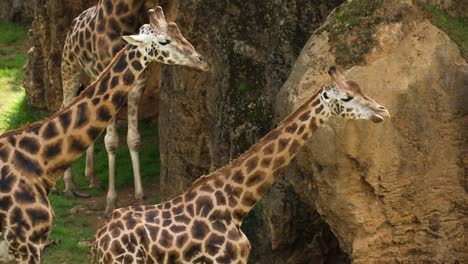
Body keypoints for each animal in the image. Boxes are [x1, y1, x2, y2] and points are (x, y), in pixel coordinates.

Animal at [59, 0, 162, 211]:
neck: (124, 17)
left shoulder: (139, 82)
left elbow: (133, 139)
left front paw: (140, 196)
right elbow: (112, 141)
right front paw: (111, 201)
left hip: (91, 78)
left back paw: (92, 177)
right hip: (70, 69)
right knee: (63, 109)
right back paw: (70, 186)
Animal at [89, 66, 390, 264]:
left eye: (359, 88)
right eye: (347, 97)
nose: (382, 111)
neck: (235, 204)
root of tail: (97, 242)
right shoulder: (225, 261)